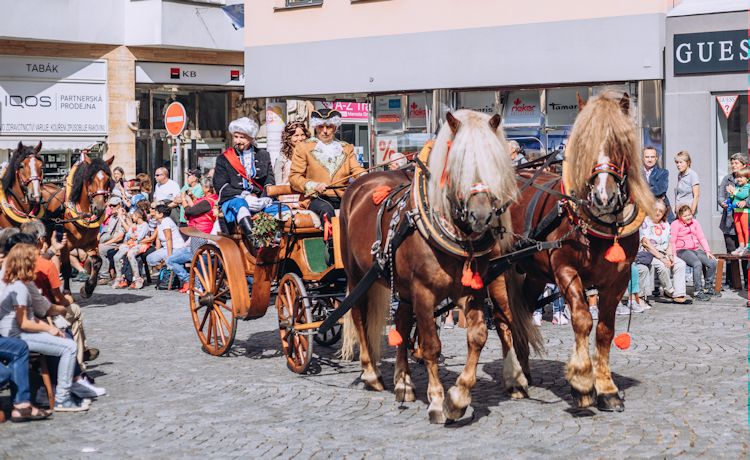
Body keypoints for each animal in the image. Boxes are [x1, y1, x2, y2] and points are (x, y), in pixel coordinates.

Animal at [42, 153, 113, 296]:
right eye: (90, 179)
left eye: (108, 180)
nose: (99, 208)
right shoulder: (64, 245)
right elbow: (66, 268)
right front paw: (67, 292)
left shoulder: (90, 243)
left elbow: (98, 262)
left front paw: (87, 289)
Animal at [344, 108, 520, 424]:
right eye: (458, 164)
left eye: (494, 163)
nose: (481, 215)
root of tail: (362, 181)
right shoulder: (424, 293)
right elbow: (430, 346)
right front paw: (438, 401)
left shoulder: (472, 290)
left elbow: (478, 336)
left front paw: (458, 397)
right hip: (357, 276)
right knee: (359, 317)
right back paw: (371, 374)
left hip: (401, 286)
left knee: (401, 322)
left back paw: (403, 383)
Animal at [490, 91, 656, 412]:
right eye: (584, 145)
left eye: (618, 143)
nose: (603, 197)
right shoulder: (565, 269)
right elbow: (582, 319)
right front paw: (582, 383)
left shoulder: (616, 281)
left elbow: (605, 330)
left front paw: (607, 389)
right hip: (498, 271)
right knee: (504, 319)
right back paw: (514, 380)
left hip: (532, 274)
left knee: (522, 314)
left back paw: (524, 371)